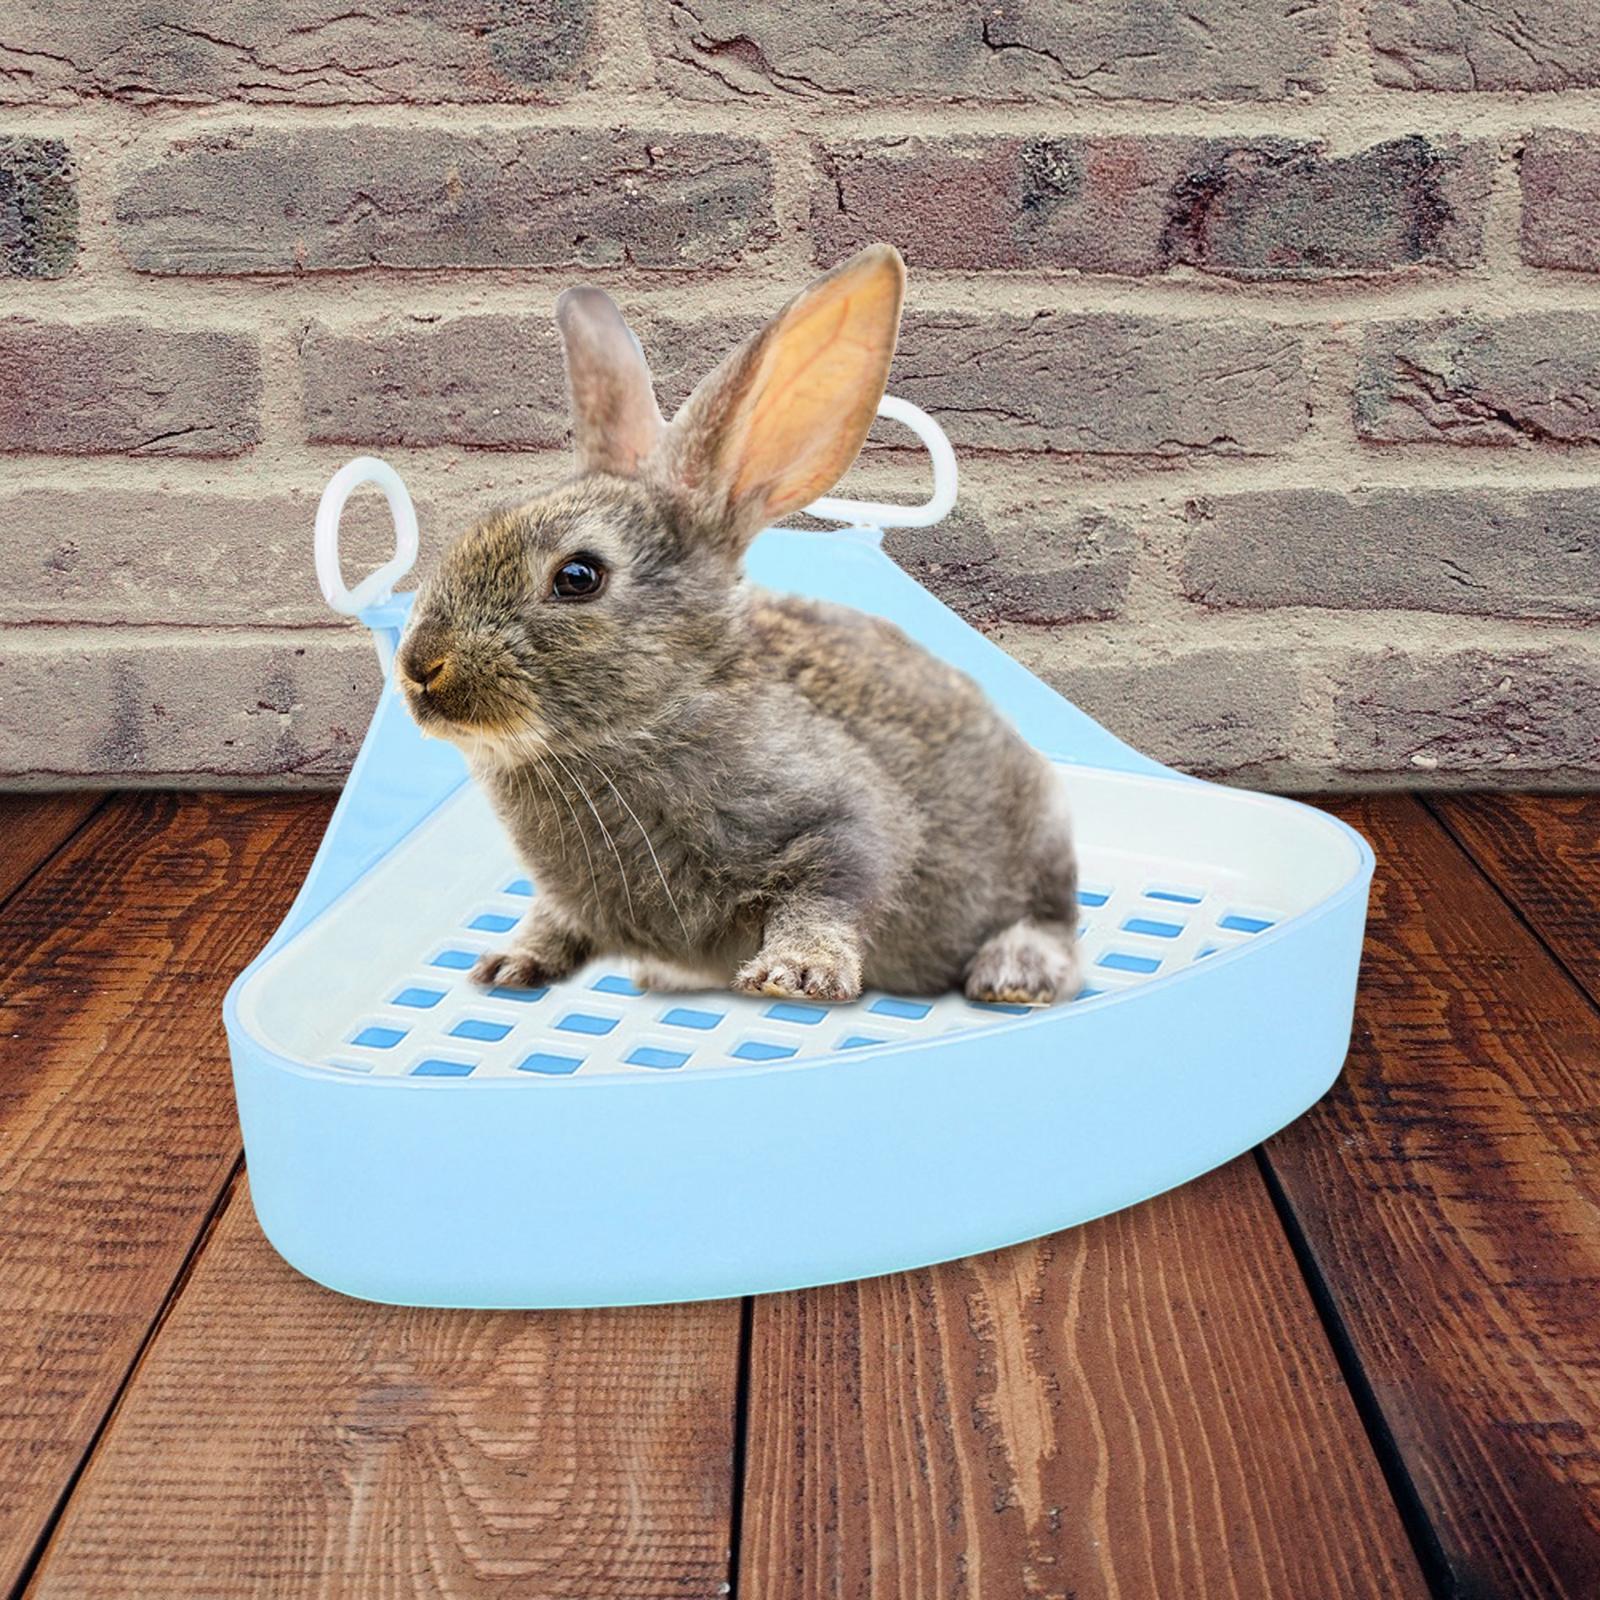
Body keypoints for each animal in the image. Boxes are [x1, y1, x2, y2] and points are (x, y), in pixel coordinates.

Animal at [395, 244, 1080, 1007]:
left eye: (578, 577)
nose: (421, 666)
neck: (652, 720)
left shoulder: (846, 820)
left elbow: (832, 888)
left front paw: (795, 974)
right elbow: (552, 919)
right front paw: (508, 964)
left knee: (1052, 923)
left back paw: (1014, 972)